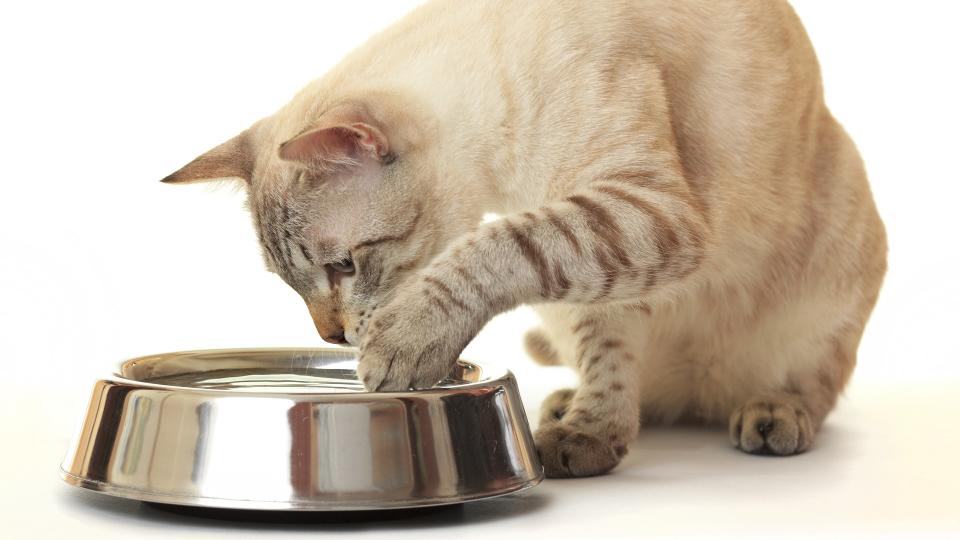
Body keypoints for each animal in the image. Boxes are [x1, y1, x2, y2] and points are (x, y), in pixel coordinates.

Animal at [163, 0, 884, 478]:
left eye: (344, 265)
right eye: (293, 284)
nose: (332, 338)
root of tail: (699, 395)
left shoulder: (640, 210)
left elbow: (496, 249)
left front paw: (401, 342)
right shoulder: (608, 263)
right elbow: (608, 352)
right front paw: (592, 436)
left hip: (834, 283)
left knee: (813, 386)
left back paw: (773, 415)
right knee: (637, 382)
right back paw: (567, 409)